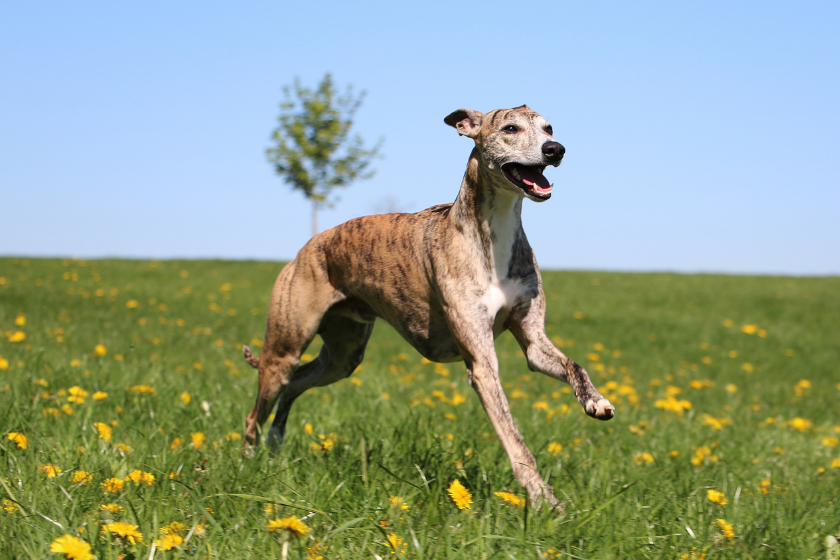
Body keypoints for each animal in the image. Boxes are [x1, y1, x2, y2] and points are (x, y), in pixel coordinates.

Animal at [243, 105, 616, 508]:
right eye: (510, 128)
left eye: (549, 128)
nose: (555, 150)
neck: (493, 231)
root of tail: (308, 247)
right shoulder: (482, 364)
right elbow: (514, 438)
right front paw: (543, 499)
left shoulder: (533, 339)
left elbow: (573, 365)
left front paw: (595, 401)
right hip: (285, 347)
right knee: (259, 408)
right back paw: (248, 464)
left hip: (343, 355)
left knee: (295, 384)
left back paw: (275, 443)